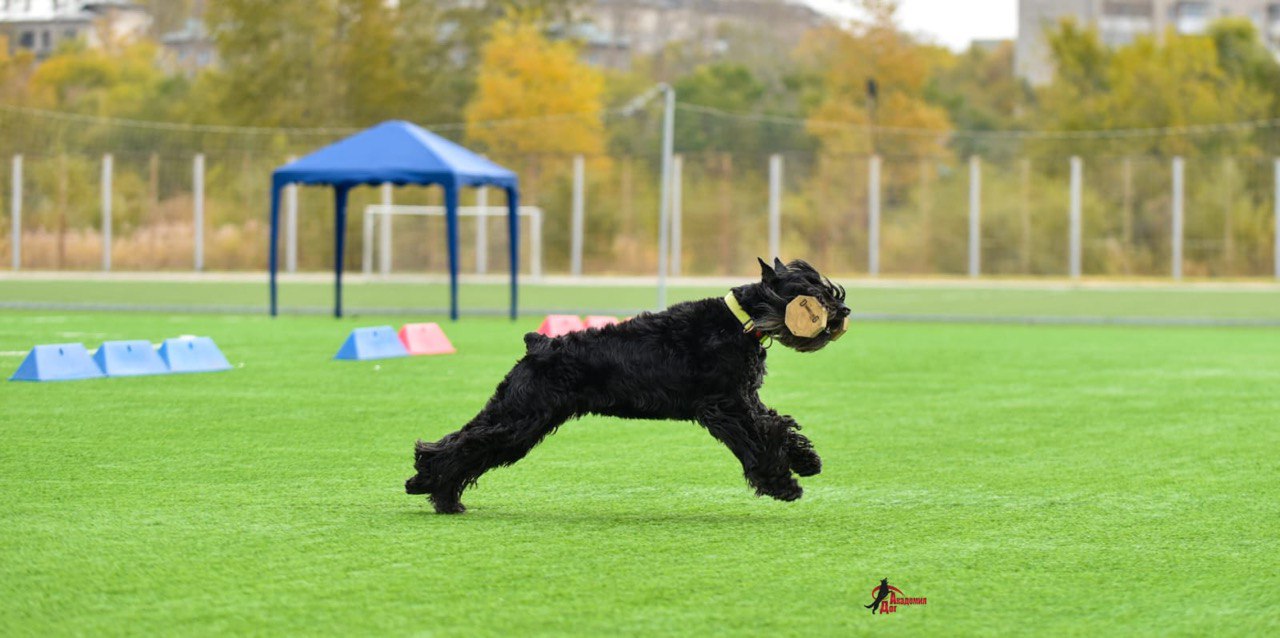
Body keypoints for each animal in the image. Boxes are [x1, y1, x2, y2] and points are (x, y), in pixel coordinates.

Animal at [409, 256, 849, 509]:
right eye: (809, 290)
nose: (842, 311)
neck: (740, 321)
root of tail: (538, 343)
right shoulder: (725, 407)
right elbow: (758, 439)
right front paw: (781, 483)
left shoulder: (745, 399)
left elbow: (776, 424)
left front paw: (805, 460)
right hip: (521, 417)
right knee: (468, 444)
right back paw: (436, 489)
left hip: (520, 417)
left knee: (465, 440)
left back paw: (436, 490)